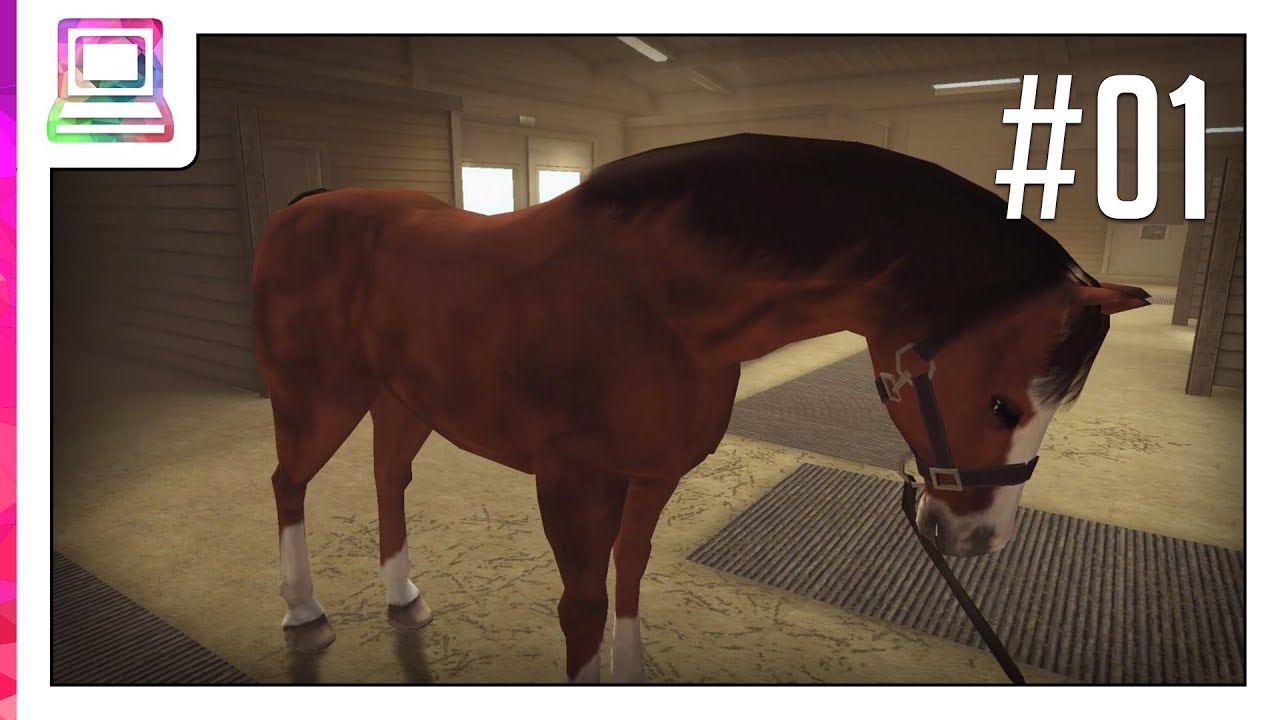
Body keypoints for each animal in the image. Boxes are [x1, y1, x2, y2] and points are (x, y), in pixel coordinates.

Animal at [251, 133, 1150, 683]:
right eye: (1001, 403)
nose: (977, 539)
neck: (660, 303)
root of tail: (304, 206)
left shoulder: (652, 476)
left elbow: (631, 576)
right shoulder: (573, 483)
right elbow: (583, 606)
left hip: (403, 399)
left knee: (387, 479)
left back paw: (403, 598)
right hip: (317, 396)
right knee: (288, 483)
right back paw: (302, 613)